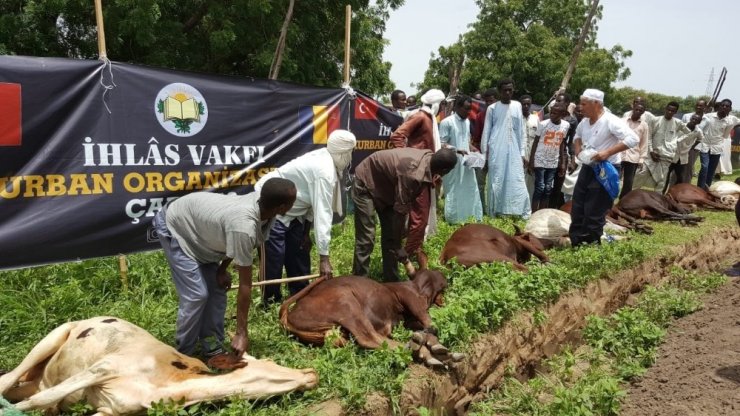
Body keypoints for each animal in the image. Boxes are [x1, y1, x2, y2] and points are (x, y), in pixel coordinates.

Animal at [0, 316, 316, 414]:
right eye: (270, 362)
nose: (311, 374)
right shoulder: (103, 368)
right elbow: (40, 401)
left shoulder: (111, 411)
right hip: (52, 338)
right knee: (9, 380)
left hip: (36, 378)